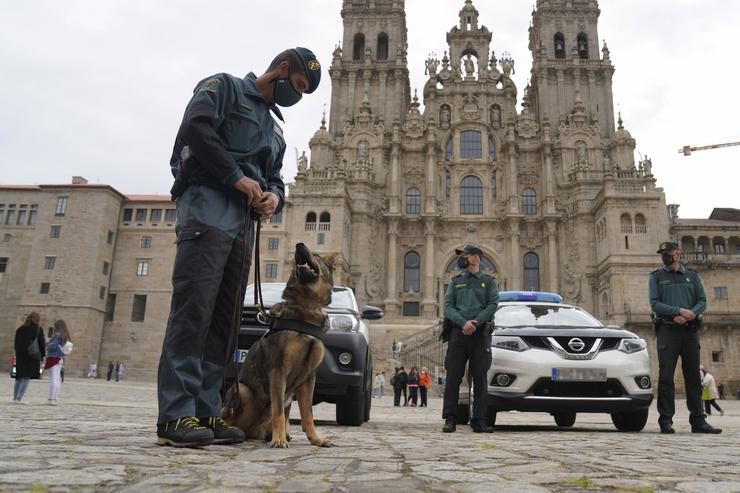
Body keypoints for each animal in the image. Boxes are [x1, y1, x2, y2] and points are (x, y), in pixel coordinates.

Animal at [221, 241, 334, 446]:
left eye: (317, 255)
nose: (299, 244)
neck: (306, 307)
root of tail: (252, 432)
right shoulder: (278, 371)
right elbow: (278, 410)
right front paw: (279, 439)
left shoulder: (309, 379)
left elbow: (308, 413)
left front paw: (315, 438)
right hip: (242, 389)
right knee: (228, 414)